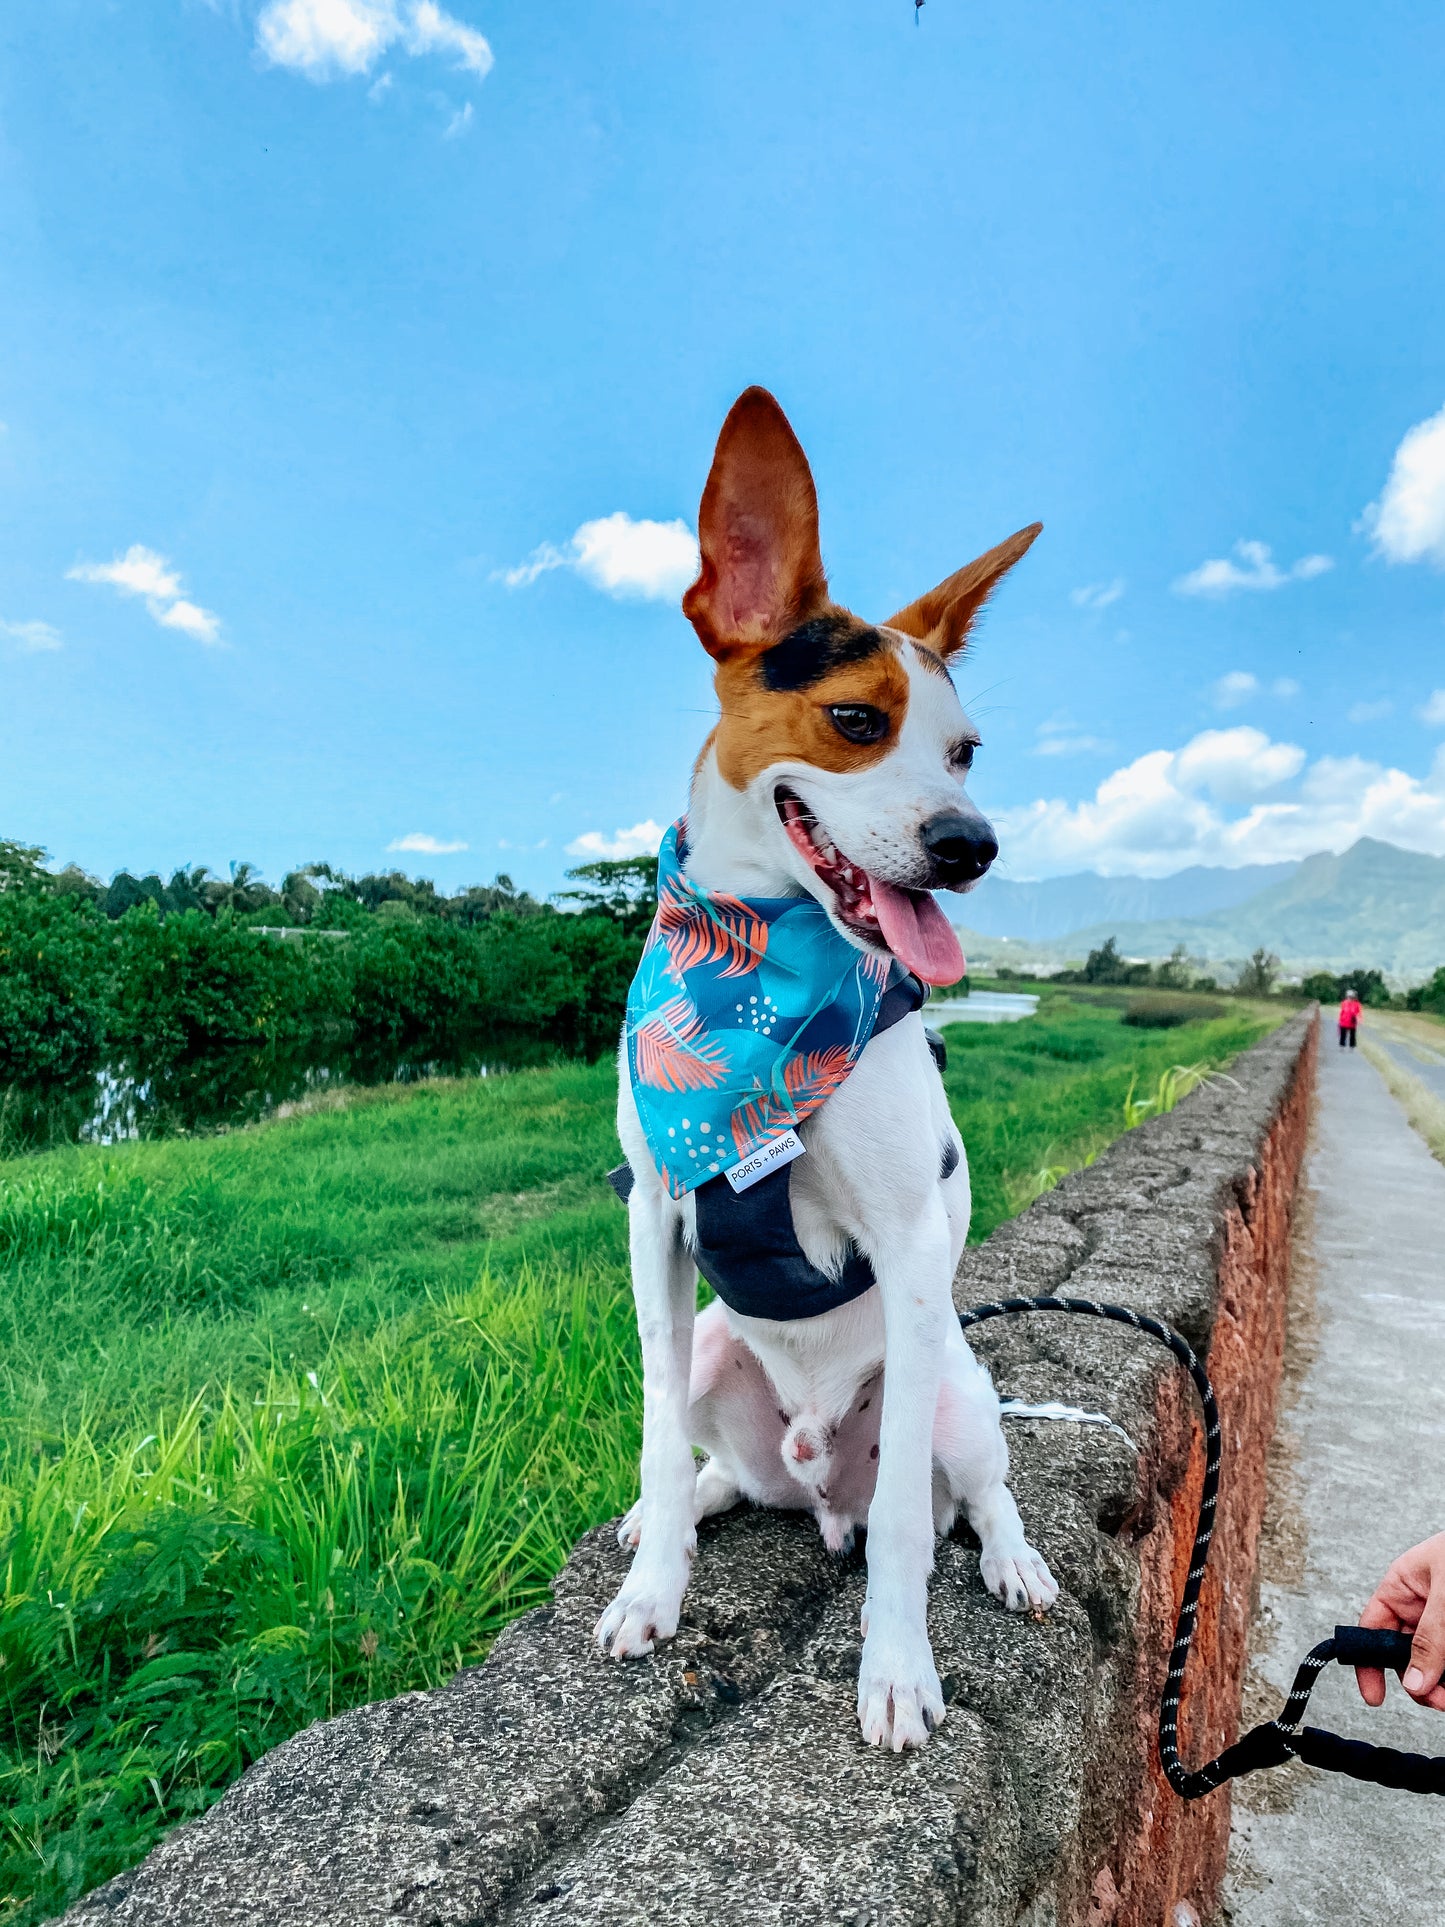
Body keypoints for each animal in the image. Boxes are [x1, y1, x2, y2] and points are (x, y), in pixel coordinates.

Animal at [593, 387, 1055, 1749]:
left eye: (964, 751)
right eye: (856, 720)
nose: (970, 847)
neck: (757, 970)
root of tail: (812, 1488)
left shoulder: (905, 1247)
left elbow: (907, 1521)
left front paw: (895, 1668)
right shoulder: (655, 1218)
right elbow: (651, 1438)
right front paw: (652, 1589)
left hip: (951, 1379)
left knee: (966, 1491)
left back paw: (1011, 1559)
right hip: (714, 1347)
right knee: (720, 1472)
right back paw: (685, 1511)